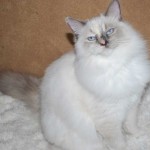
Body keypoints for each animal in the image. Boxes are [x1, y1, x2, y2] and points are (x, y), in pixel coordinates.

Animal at [40, 0, 150, 150]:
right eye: (91, 38)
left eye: (109, 31)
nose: (104, 43)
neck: (116, 65)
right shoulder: (109, 120)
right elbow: (119, 142)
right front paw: (127, 145)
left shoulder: (132, 105)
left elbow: (131, 126)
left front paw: (139, 135)